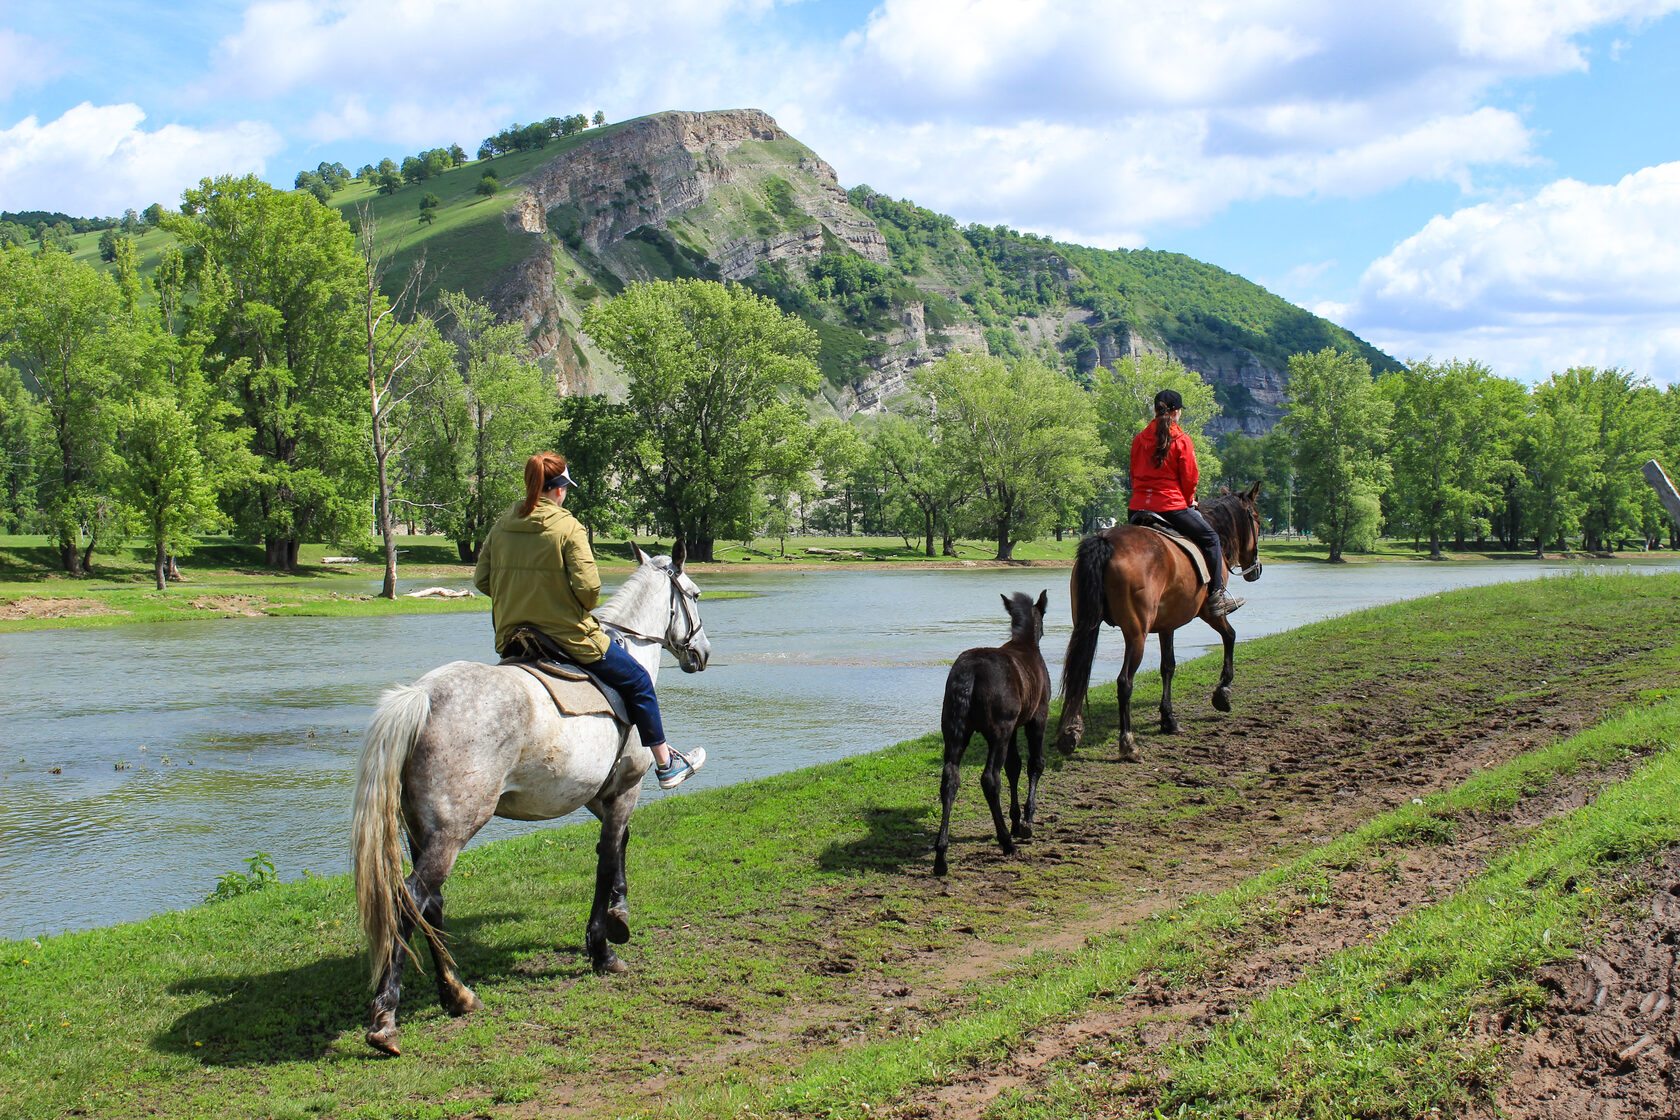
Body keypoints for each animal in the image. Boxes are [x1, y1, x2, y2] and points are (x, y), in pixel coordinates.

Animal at [354, 540, 708, 1054]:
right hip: (451, 833)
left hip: (424, 833)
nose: (702, 652)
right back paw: (386, 1018)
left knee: (432, 906)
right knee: (410, 903)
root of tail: (423, 695)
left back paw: (456, 993)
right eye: (696, 594)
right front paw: (602, 948)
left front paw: (618, 916)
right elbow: (607, 858)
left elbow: (618, 847)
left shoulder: (598, 794)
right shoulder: (626, 787)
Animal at [1055, 483, 1263, 762]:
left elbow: (1168, 667)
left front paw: (1168, 718)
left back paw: (1071, 732)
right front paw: (1223, 692)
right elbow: (1230, 637)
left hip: (1085, 626)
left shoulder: (1167, 625)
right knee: (1124, 682)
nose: (1256, 569)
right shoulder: (1210, 613)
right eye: (1257, 519)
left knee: (1080, 673)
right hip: (1136, 634)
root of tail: (1106, 540)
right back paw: (1128, 743)